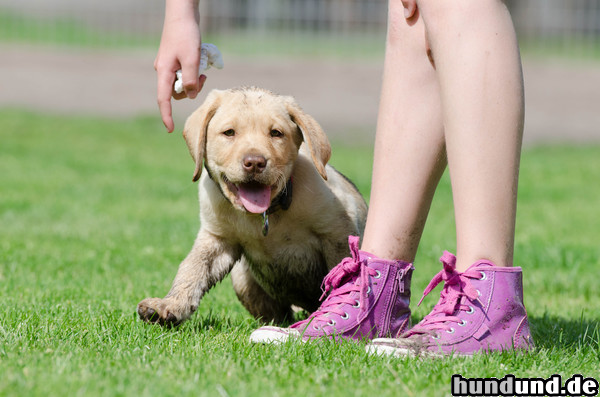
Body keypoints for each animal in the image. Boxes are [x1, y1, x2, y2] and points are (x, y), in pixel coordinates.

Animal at [138, 86, 368, 324]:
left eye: (276, 133)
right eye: (229, 132)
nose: (255, 163)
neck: (265, 214)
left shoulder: (337, 233)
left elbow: (342, 273)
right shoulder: (217, 239)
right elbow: (192, 269)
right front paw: (171, 304)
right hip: (242, 279)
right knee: (279, 314)